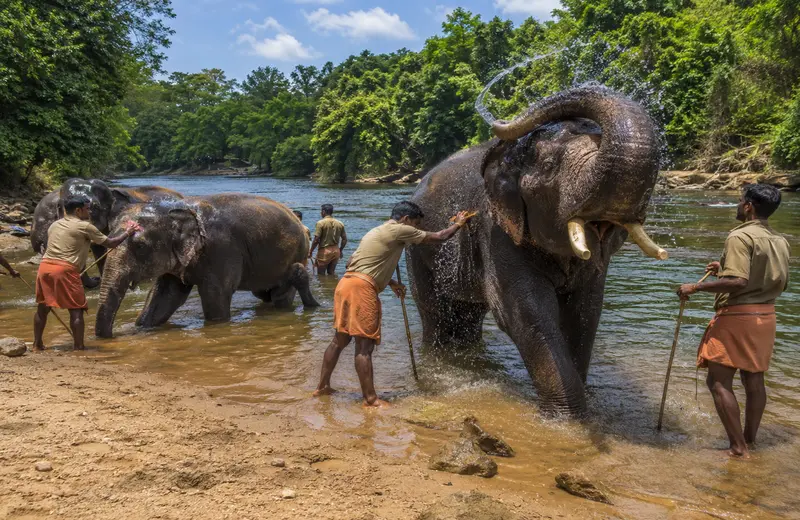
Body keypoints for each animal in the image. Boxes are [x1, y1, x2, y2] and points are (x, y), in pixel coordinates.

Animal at [95, 194, 320, 338]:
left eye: (141, 246)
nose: (113, 337)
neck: (175, 208)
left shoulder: (222, 250)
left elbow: (215, 300)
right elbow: (165, 296)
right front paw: (143, 326)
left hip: (298, 251)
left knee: (282, 293)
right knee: (263, 293)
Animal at [406, 86, 668, 417]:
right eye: (548, 168)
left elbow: (586, 311)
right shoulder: (496, 229)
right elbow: (524, 311)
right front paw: (567, 419)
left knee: (467, 314)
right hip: (418, 251)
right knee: (435, 312)